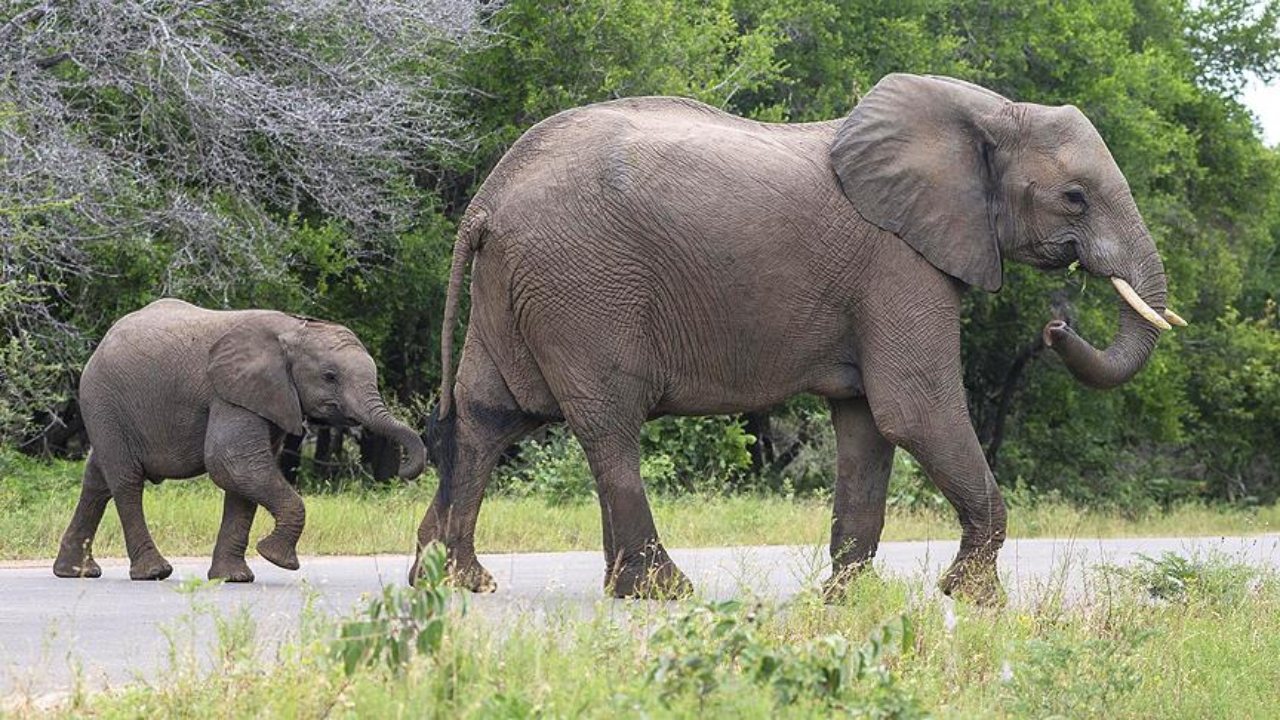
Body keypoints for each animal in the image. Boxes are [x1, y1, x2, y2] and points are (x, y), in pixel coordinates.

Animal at [55, 298, 427, 584]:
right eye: (330, 376)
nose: (404, 470)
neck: (293, 328)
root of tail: (104, 339)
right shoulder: (230, 393)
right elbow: (231, 462)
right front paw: (277, 559)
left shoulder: (268, 397)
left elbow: (243, 479)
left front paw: (234, 579)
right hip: (103, 399)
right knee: (126, 480)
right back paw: (153, 572)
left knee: (97, 480)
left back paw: (75, 572)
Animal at [409, 73, 1177, 599]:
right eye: (1074, 198)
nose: (1054, 325)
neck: (986, 112)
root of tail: (485, 200)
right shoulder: (900, 263)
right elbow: (915, 410)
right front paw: (973, 598)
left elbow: (868, 426)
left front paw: (845, 599)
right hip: (583, 287)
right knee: (608, 425)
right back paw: (659, 591)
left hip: (515, 288)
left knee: (486, 415)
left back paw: (452, 580)